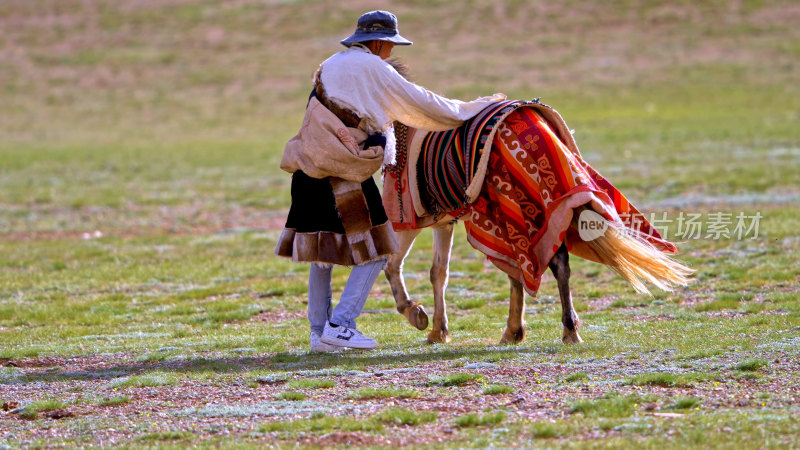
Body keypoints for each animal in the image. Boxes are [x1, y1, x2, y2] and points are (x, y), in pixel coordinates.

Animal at [378, 99, 692, 344]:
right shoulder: (443, 220)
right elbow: (438, 272)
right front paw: (438, 329)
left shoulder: (410, 219)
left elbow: (394, 265)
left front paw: (417, 315)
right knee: (555, 265)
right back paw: (557, 330)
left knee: (534, 265)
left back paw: (538, 330)